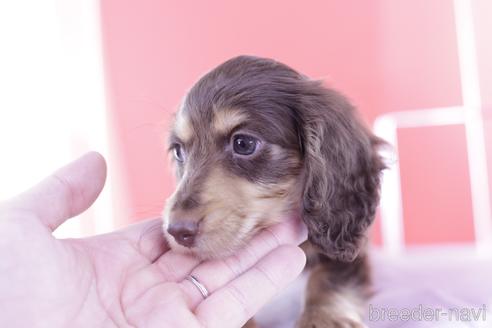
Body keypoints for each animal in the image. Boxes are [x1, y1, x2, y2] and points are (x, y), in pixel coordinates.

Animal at [161, 55, 384, 326]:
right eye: (178, 150)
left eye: (244, 144)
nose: (177, 231)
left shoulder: (349, 250)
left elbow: (328, 277)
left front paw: (322, 317)